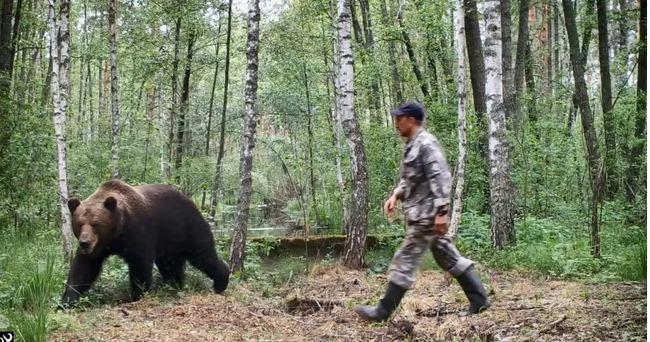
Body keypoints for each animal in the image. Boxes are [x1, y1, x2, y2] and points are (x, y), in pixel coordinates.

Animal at [58, 180, 230, 306]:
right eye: (80, 223)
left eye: (96, 224)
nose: (85, 242)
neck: (116, 232)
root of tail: (190, 200)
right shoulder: (99, 247)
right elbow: (83, 268)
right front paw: (67, 300)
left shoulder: (138, 232)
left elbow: (140, 264)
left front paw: (137, 295)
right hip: (169, 242)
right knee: (170, 264)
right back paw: (175, 284)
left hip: (186, 227)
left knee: (203, 255)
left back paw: (221, 281)